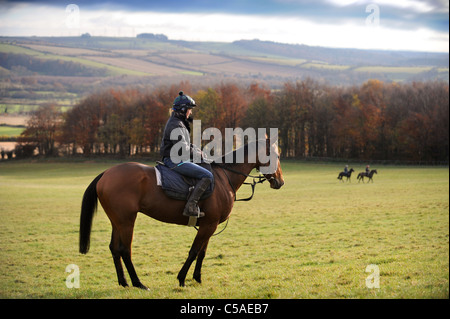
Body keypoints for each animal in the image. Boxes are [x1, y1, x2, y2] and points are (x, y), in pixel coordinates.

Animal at [80, 139, 284, 292]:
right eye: (276, 156)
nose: (280, 181)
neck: (223, 178)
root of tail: (106, 173)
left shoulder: (209, 224)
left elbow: (202, 252)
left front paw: (197, 278)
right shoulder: (209, 225)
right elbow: (194, 251)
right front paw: (182, 279)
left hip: (117, 221)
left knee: (114, 248)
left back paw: (123, 282)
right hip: (126, 221)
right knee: (124, 250)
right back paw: (138, 283)